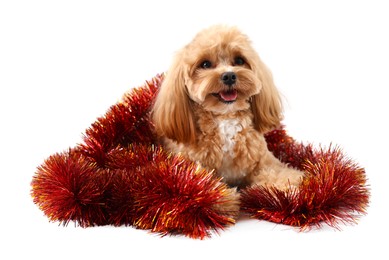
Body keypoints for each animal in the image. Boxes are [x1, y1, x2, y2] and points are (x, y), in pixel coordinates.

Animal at [152, 25, 304, 191]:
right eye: (205, 64)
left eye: (239, 60)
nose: (229, 76)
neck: (225, 118)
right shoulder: (192, 164)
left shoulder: (264, 161)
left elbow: (278, 174)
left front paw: (287, 187)